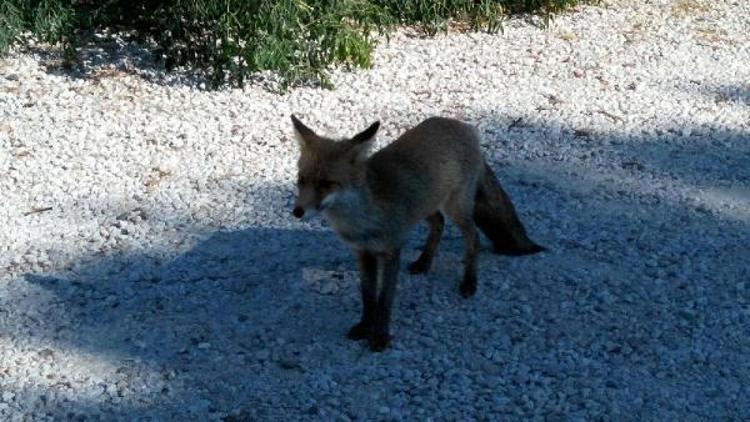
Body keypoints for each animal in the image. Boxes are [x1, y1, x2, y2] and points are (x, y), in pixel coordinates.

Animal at [290, 115, 548, 352]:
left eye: (326, 183)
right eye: (301, 180)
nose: (297, 212)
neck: (362, 218)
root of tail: (460, 125)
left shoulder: (392, 250)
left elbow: (384, 300)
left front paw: (380, 336)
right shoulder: (363, 253)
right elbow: (368, 296)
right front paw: (365, 326)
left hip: (456, 208)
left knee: (474, 238)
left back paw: (469, 282)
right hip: (426, 207)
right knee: (439, 225)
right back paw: (424, 262)